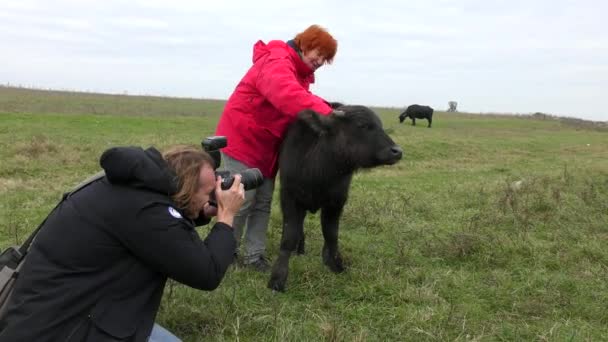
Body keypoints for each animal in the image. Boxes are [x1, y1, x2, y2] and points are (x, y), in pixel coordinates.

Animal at [270, 103, 404, 292]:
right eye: (363, 125)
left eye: (380, 125)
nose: (397, 151)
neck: (319, 171)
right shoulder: (289, 198)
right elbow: (289, 236)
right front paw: (277, 279)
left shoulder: (336, 202)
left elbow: (331, 234)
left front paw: (334, 263)